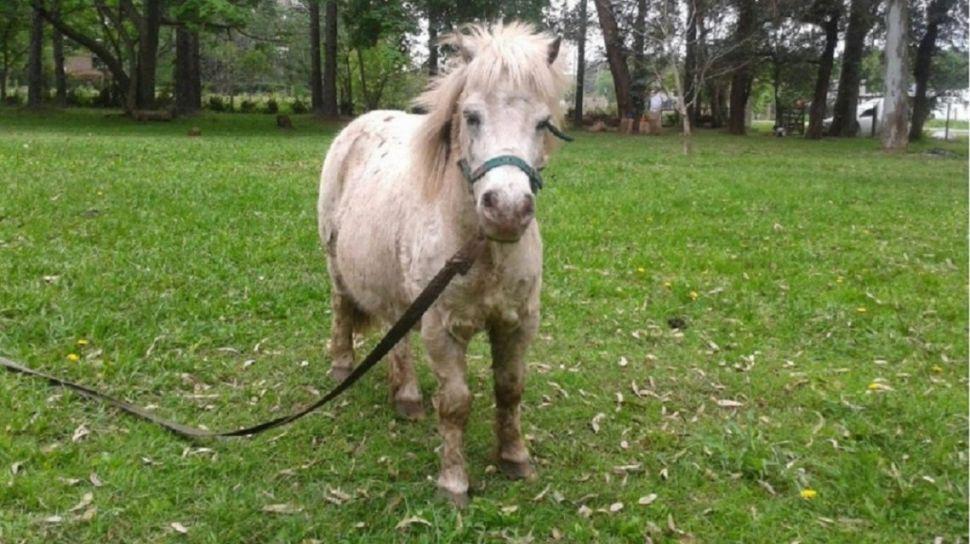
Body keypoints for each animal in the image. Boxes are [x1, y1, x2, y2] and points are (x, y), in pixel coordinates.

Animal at [318, 22, 564, 506]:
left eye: (543, 123)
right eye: (471, 116)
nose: (507, 210)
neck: (481, 251)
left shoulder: (518, 323)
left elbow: (510, 389)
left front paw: (514, 458)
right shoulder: (443, 328)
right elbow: (455, 404)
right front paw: (454, 482)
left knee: (395, 336)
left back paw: (408, 397)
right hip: (338, 267)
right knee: (342, 308)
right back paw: (344, 366)